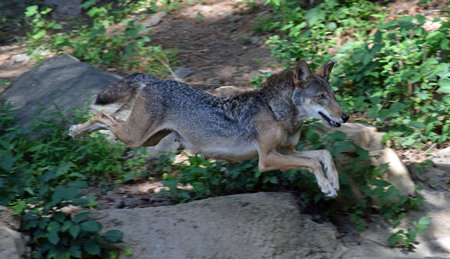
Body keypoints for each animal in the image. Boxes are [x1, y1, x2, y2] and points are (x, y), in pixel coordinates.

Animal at [70, 61, 350, 198]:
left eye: (333, 95)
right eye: (322, 97)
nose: (345, 116)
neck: (276, 111)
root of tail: (155, 80)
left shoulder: (288, 150)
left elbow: (324, 155)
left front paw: (333, 182)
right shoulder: (267, 159)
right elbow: (312, 163)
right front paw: (326, 188)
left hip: (147, 140)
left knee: (104, 118)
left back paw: (75, 132)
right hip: (135, 138)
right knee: (102, 114)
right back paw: (75, 130)